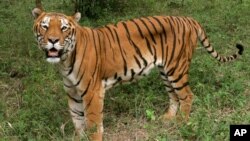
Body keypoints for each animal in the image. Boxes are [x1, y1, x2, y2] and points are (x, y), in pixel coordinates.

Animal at [31, 6, 244, 140]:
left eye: (64, 28)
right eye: (45, 26)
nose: (52, 40)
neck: (64, 61)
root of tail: (188, 18)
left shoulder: (91, 92)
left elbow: (92, 124)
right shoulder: (73, 93)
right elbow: (77, 121)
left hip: (177, 68)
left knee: (187, 95)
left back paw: (181, 123)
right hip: (165, 71)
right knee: (174, 96)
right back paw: (168, 118)